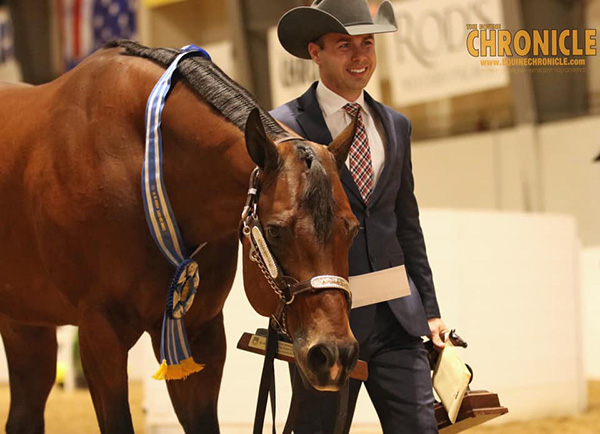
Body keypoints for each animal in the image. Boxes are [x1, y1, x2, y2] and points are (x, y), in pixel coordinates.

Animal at [0, 39, 356, 430]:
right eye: (275, 231)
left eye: (353, 228)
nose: (334, 354)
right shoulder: (100, 332)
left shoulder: (199, 332)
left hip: (25, 325)